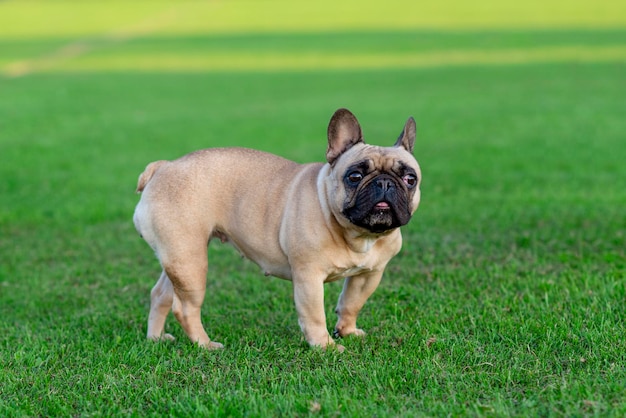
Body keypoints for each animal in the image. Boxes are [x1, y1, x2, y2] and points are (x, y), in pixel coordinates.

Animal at [134, 108, 422, 350]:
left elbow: (352, 303)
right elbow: (314, 315)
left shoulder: (369, 275)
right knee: (185, 308)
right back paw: (205, 345)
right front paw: (325, 346)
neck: (358, 236)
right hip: (190, 261)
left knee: (161, 294)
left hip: (178, 259)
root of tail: (164, 167)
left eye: (410, 179)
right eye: (355, 176)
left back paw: (156, 338)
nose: (384, 183)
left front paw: (347, 332)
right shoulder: (308, 277)